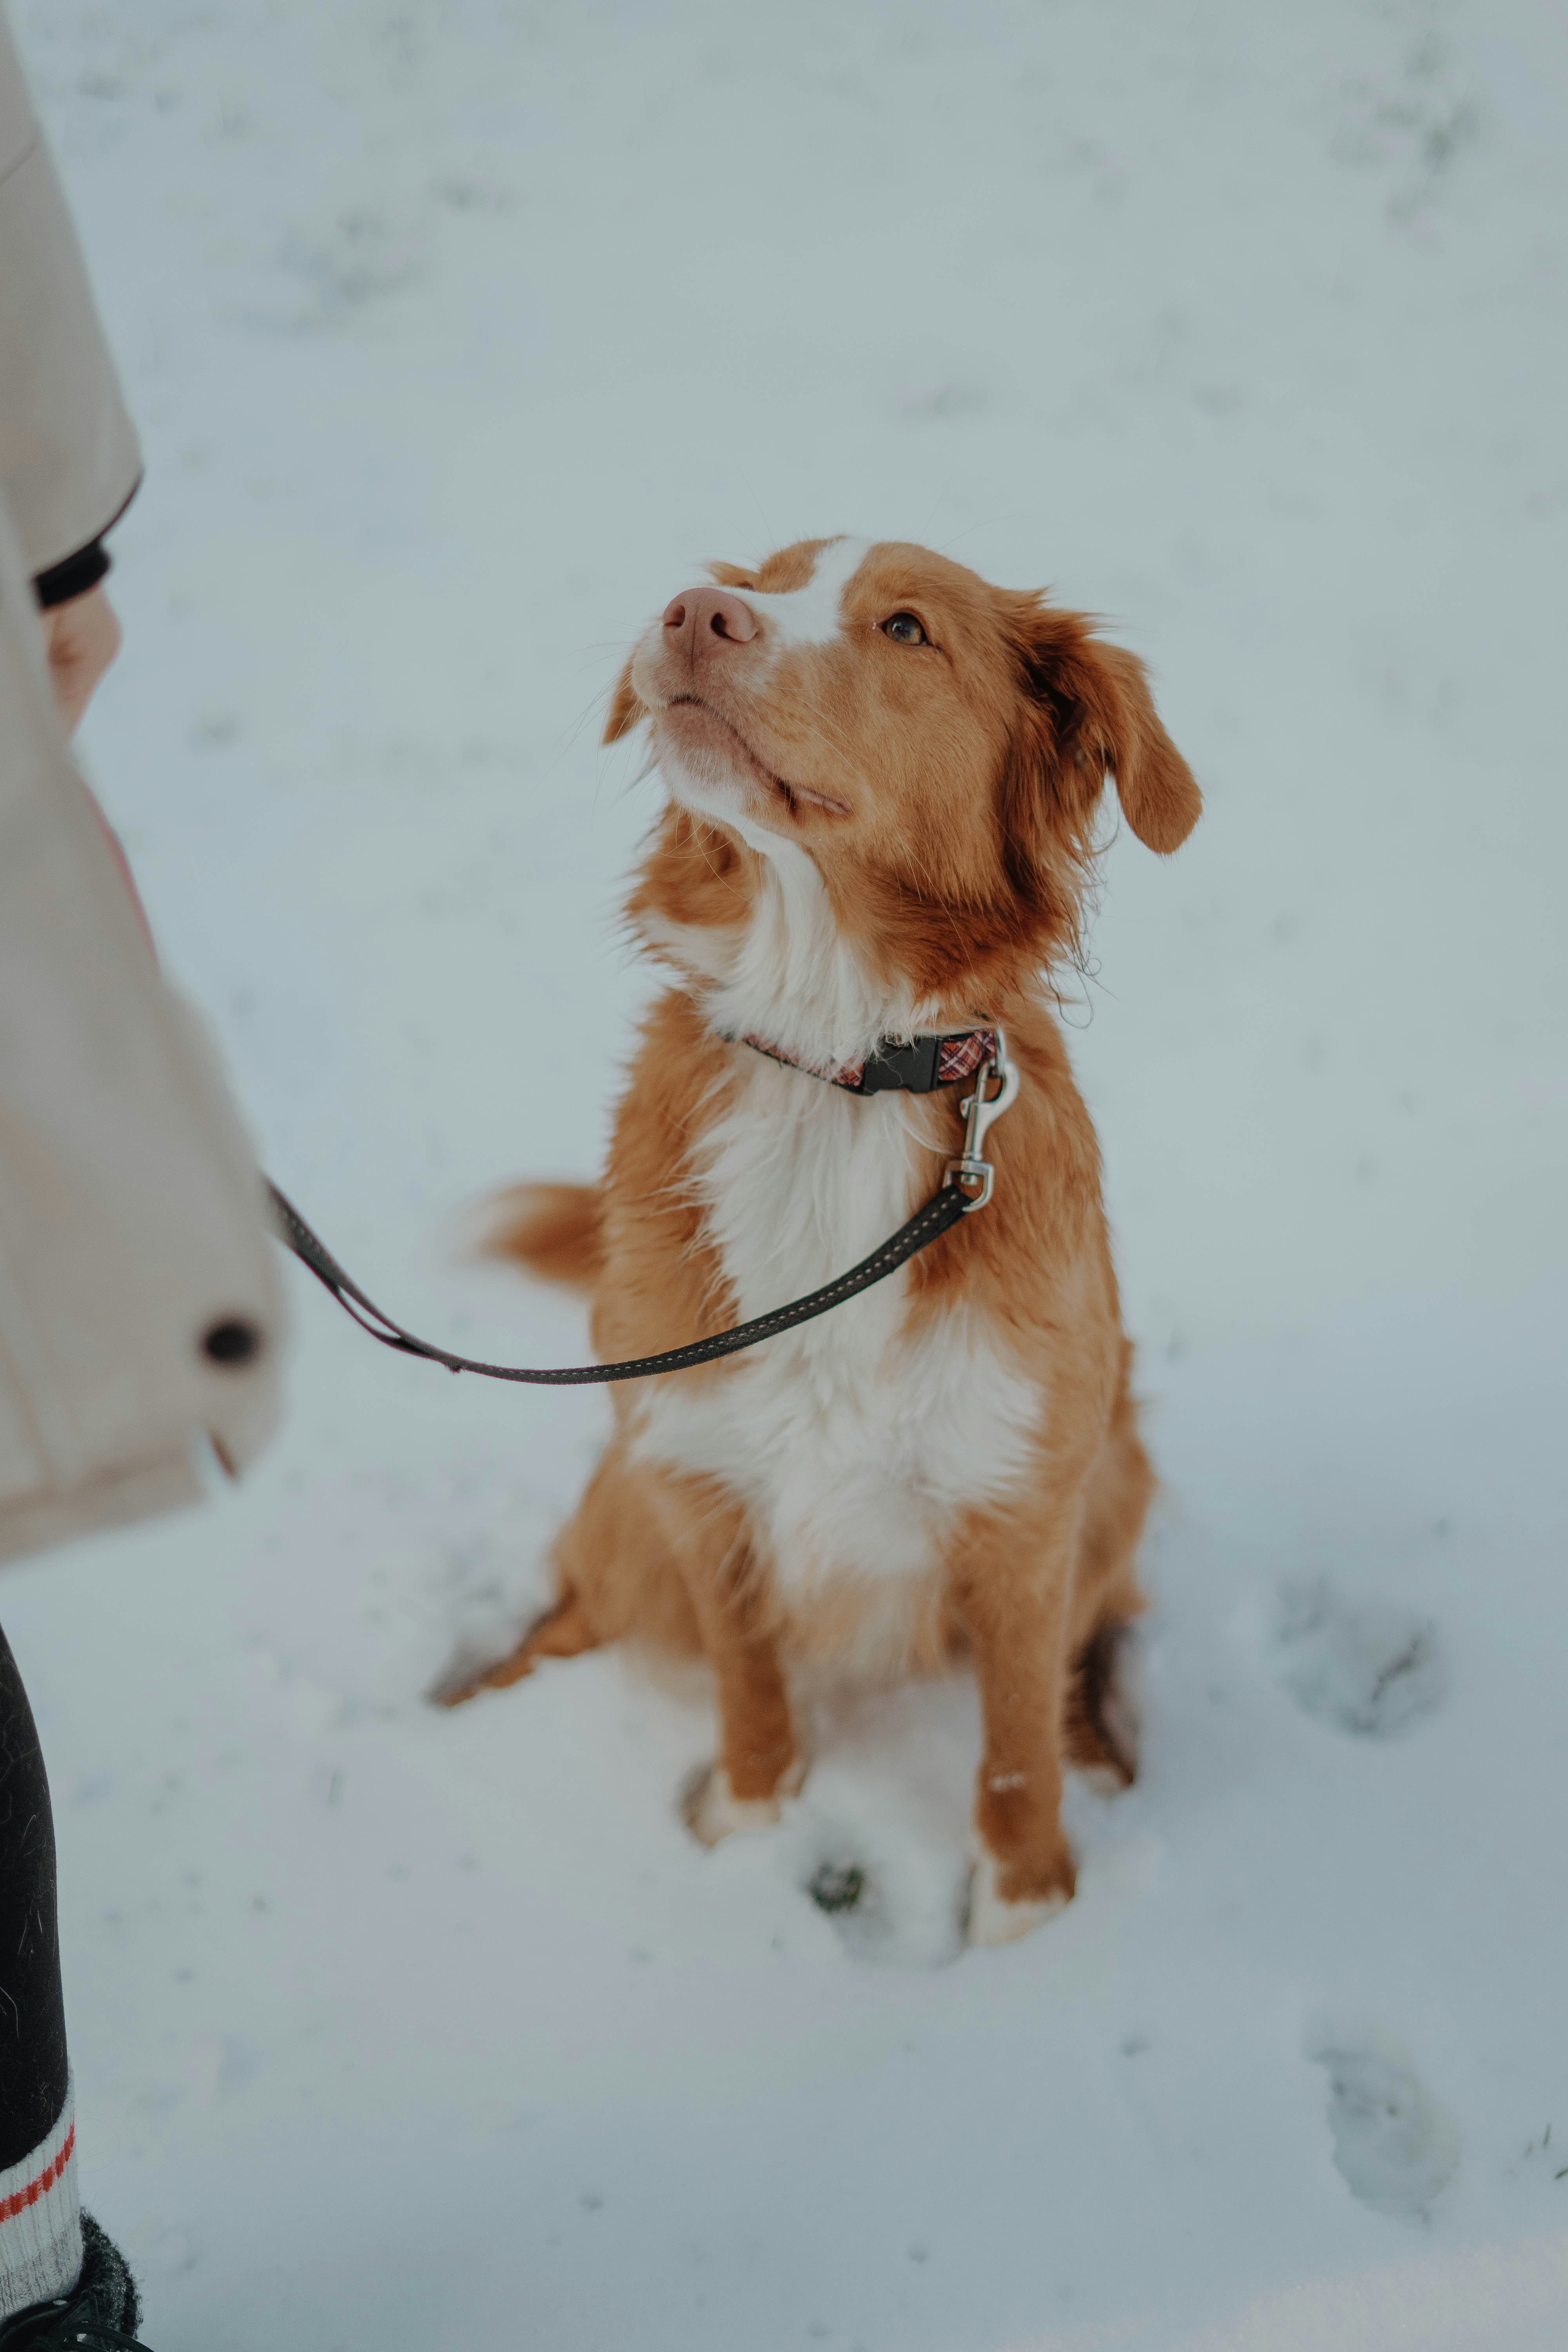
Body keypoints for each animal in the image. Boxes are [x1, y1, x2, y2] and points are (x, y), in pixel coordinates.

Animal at [442, 534, 1203, 1947]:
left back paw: (1105, 1735)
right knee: (573, 1607)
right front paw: (749, 1818)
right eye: (759, 576)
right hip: (625, 1500)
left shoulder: (1022, 1500)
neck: (834, 1065)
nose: (692, 610)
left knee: (1097, 1634)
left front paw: (1025, 1909)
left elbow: (1015, 1731)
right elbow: (747, 1676)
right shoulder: (694, 1467)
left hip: (1112, 1469)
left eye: (906, 628)